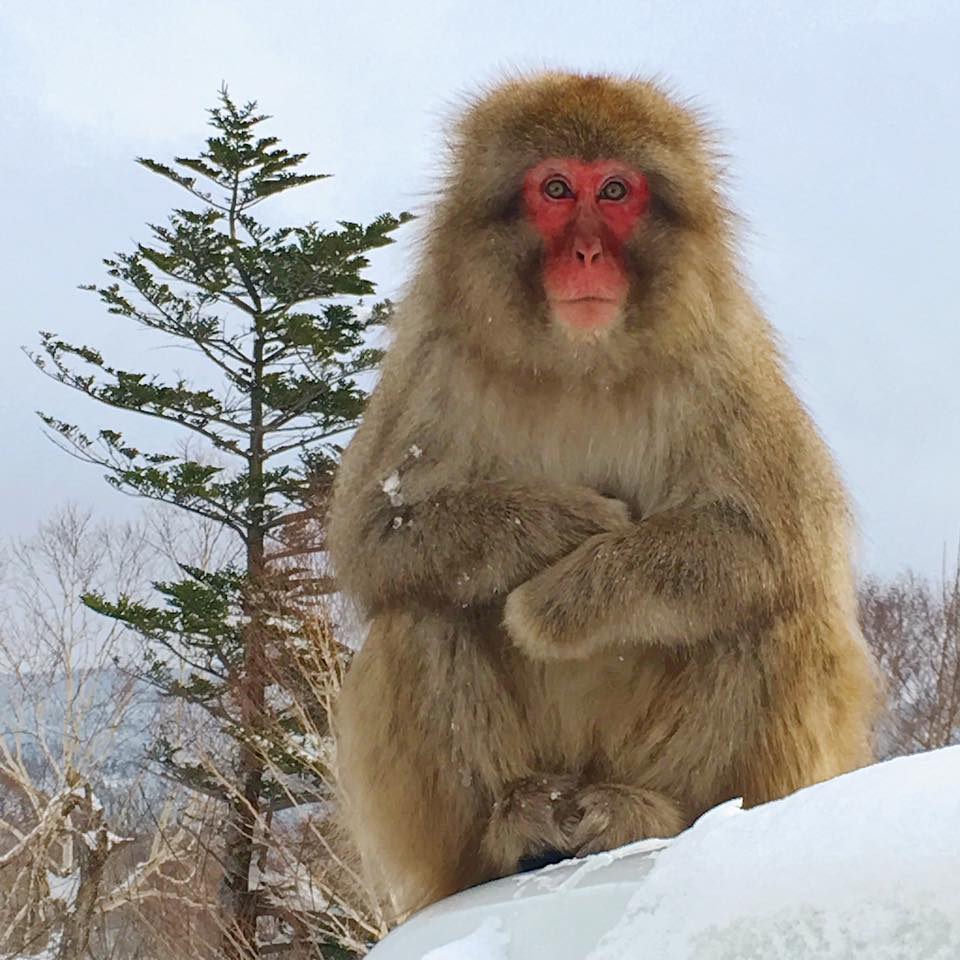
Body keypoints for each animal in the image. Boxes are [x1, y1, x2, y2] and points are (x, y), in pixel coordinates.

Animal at [327, 72, 878, 918]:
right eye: (557, 189)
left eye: (615, 191)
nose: (586, 252)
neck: (580, 360)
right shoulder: (433, 352)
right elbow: (374, 536)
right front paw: (556, 521)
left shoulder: (722, 355)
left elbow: (782, 541)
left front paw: (558, 596)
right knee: (419, 609)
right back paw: (516, 824)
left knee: (768, 612)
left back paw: (648, 813)